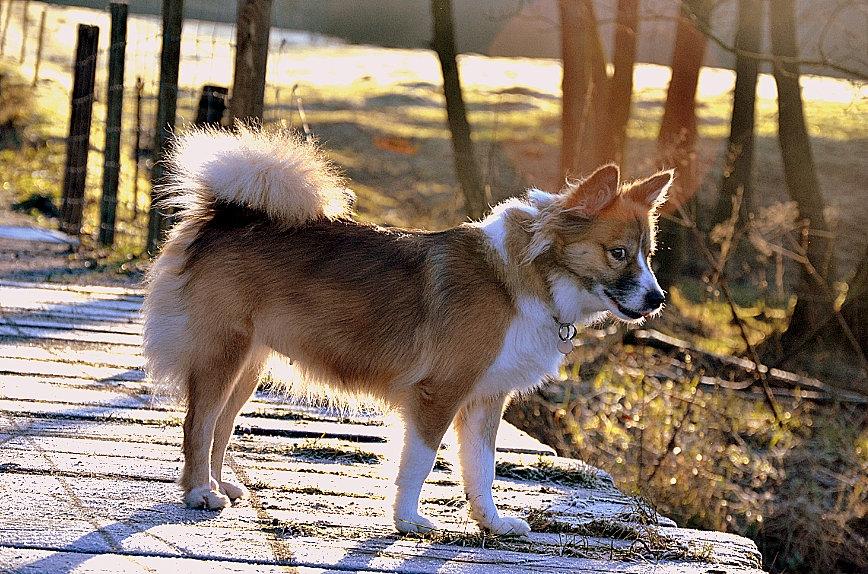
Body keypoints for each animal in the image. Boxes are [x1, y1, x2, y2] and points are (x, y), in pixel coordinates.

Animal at [141, 124, 672, 536]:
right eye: (618, 253)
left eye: (648, 254)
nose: (657, 299)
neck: (523, 277)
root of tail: (228, 213)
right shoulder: (439, 393)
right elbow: (419, 462)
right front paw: (407, 520)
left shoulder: (485, 401)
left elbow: (481, 469)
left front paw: (491, 523)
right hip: (223, 355)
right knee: (198, 423)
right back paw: (198, 492)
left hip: (249, 364)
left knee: (220, 425)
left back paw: (217, 483)